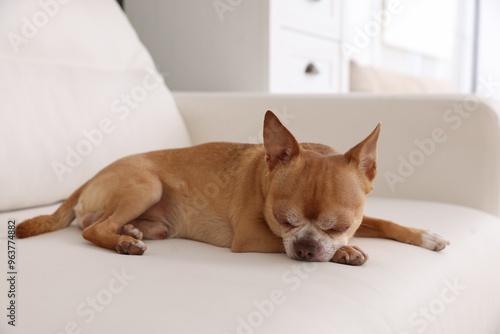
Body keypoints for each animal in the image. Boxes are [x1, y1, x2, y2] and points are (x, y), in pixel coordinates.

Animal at [15, 111, 450, 264]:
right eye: (282, 220)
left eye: (338, 224)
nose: (307, 249)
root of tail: (87, 179)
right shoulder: (252, 236)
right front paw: (346, 252)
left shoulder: (362, 218)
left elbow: (384, 222)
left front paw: (426, 235)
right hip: (145, 185)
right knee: (92, 229)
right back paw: (124, 241)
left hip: (158, 218)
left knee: (104, 223)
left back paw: (133, 231)